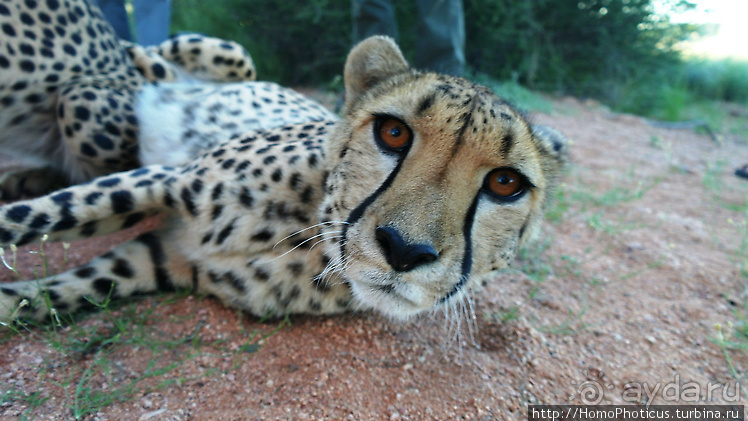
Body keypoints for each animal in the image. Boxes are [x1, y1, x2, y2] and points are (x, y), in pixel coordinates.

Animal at [0, 37, 568, 324]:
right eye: (392, 132)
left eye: (505, 184)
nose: (405, 251)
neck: (305, 239)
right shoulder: (167, 179)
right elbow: (32, 220)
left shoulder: (162, 258)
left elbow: (55, 293)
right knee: (177, 52)